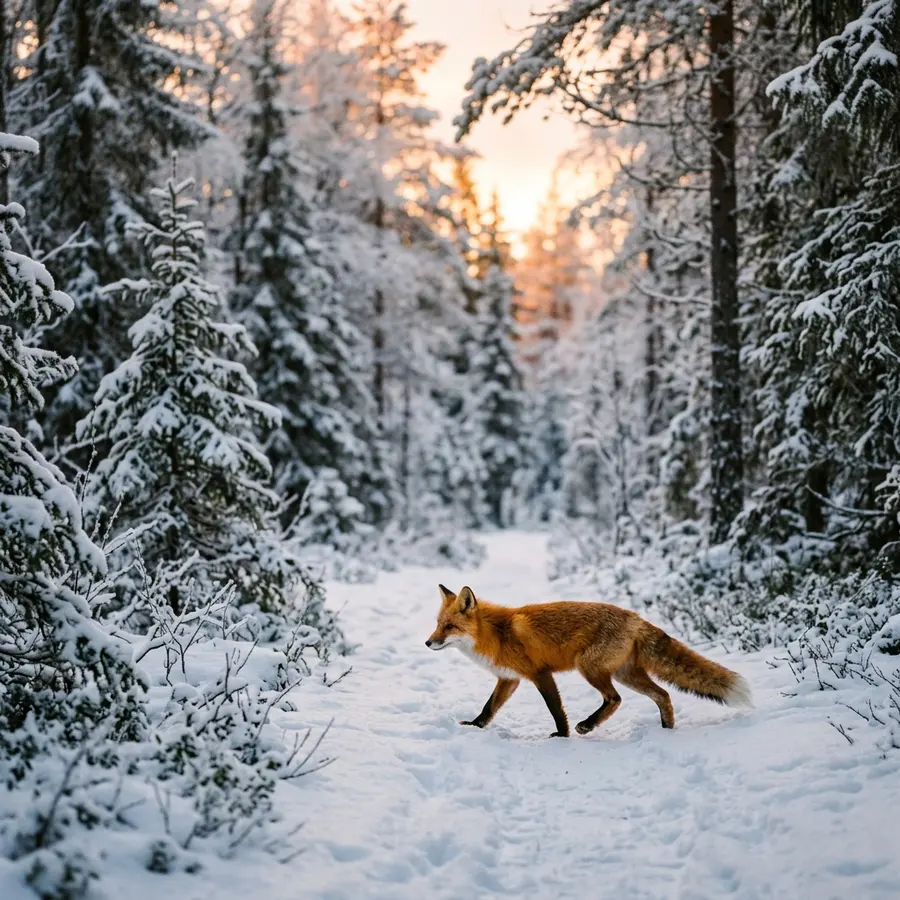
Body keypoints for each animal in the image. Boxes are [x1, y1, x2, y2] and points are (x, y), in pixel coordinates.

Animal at [425, 584, 751, 737]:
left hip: (590, 668)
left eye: (450, 627)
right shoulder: (509, 678)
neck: (496, 633)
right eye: (438, 624)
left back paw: (587, 725)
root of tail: (636, 618)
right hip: (626, 674)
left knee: (615, 699)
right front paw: (474, 726)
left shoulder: (539, 673)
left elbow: (555, 709)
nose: (428, 642)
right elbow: (489, 708)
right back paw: (666, 730)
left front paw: (562, 734)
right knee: (663, 695)